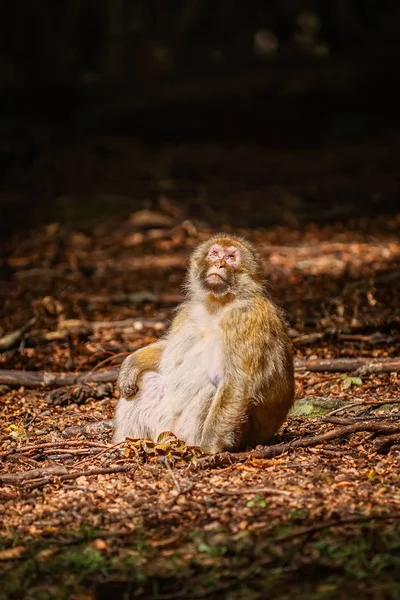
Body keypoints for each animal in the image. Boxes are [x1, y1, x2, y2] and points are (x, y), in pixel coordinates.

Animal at [112, 232, 294, 452]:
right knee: (147, 381)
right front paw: (130, 364)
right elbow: (166, 351)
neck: (217, 304)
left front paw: (210, 448)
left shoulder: (245, 317)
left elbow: (238, 382)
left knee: (212, 387)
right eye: (214, 253)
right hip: (162, 428)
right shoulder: (188, 312)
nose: (219, 264)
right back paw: (124, 445)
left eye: (231, 257)